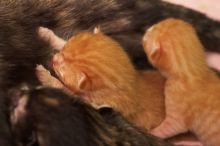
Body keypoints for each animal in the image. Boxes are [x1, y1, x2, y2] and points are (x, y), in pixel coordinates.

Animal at [37, 27, 166, 130]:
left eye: (61, 70)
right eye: (64, 48)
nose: (53, 59)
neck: (132, 81)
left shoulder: (95, 101)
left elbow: (65, 89)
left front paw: (44, 75)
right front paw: (47, 35)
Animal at [144, 18, 220, 146]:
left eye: (151, 30)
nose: (146, 30)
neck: (192, 71)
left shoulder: (176, 121)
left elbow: (165, 130)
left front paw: (151, 133)